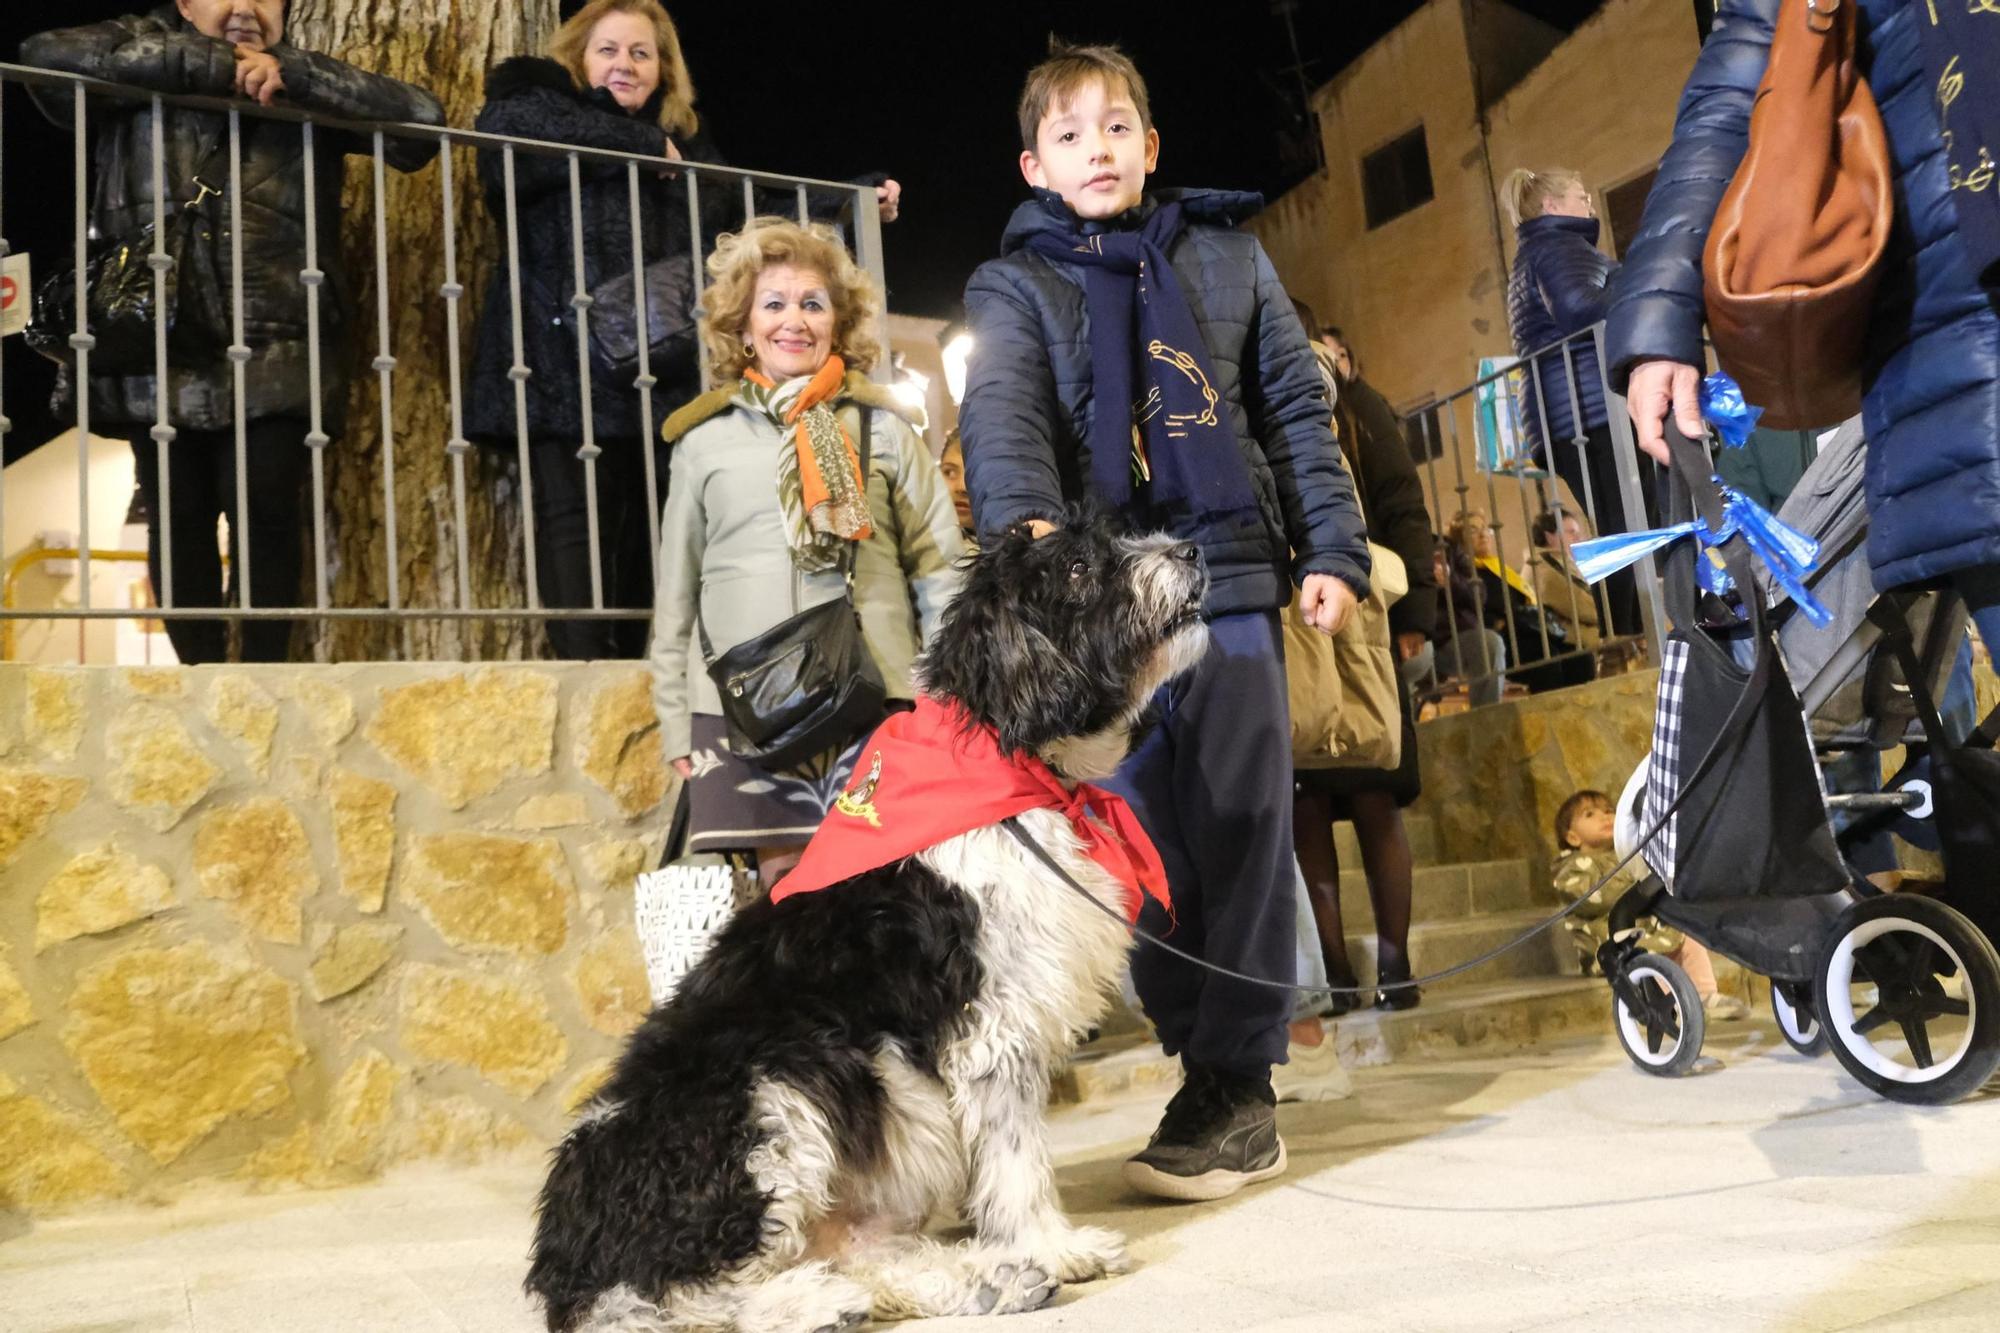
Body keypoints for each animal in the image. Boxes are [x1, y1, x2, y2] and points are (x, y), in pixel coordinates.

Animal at [528, 510, 1200, 1328]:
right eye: (1077, 568)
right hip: (776, 1086)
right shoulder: (992, 1026)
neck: (1006, 762)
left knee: (859, 1254)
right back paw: (820, 1301)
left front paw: (1033, 1253)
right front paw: (1053, 1244)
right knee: (682, 1296)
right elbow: (1017, 1156)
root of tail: (567, 1264)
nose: (1193, 549)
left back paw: (985, 1279)